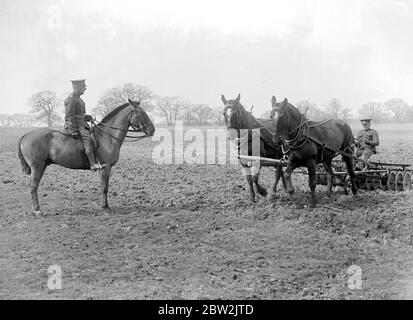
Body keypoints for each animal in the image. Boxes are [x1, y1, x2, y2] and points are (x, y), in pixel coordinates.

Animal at [16, 99, 155, 216]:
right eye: (141, 113)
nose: (152, 130)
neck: (107, 137)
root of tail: (25, 135)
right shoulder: (106, 167)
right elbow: (105, 188)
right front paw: (105, 207)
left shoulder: (103, 169)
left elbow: (103, 186)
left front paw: (104, 205)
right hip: (37, 167)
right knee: (33, 187)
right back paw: (37, 210)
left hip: (42, 166)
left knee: (34, 187)